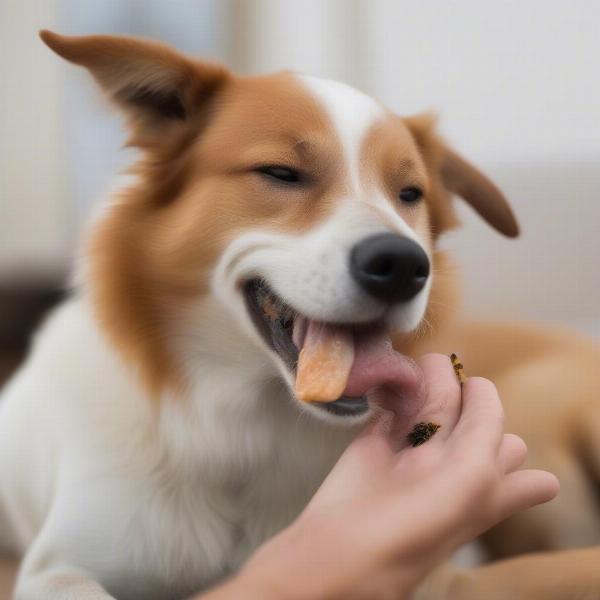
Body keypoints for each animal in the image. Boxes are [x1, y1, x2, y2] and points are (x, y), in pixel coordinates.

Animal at [1, 29, 600, 600]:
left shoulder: (439, 579)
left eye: (410, 194)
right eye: (281, 173)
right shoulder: (59, 567)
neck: (245, 429)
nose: (403, 265)